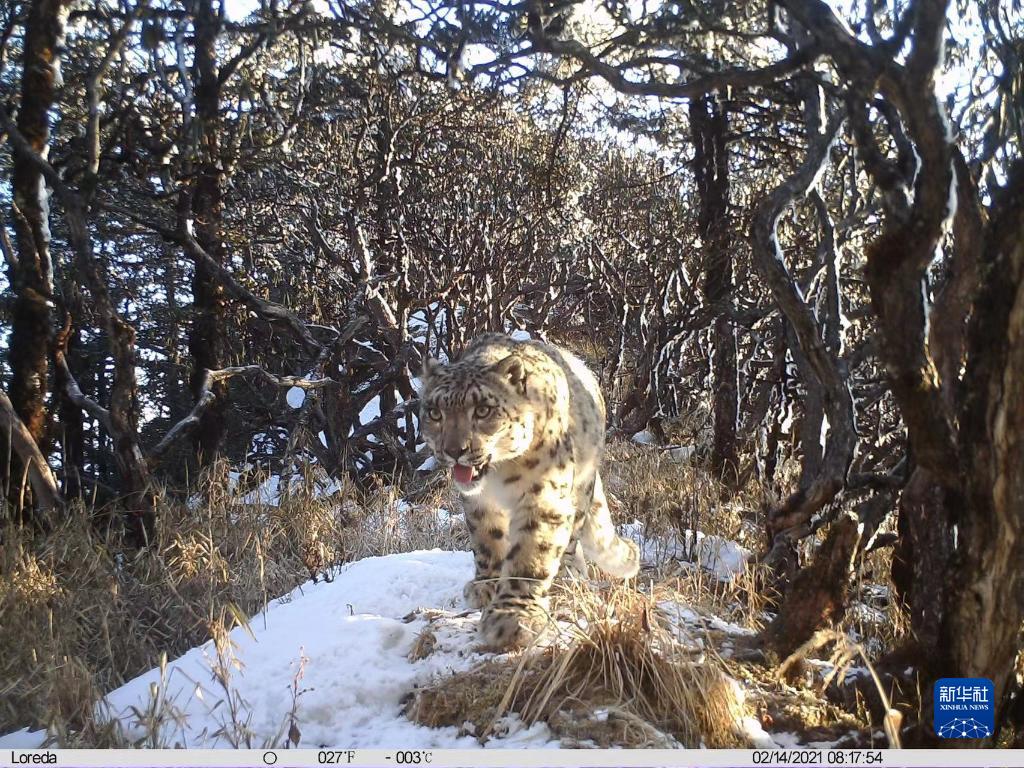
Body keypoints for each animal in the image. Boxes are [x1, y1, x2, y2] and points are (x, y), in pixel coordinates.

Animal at [419, 335, 634, 651]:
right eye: (435, 413)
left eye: (482, 410)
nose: (454, 450)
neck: (498, 478)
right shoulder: (477, 504)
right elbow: (486, 541)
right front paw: (486, 585)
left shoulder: (544, 496)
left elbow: (531, 554)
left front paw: (512, 616)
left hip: (580, 487)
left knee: (572, 538)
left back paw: (567, 577)